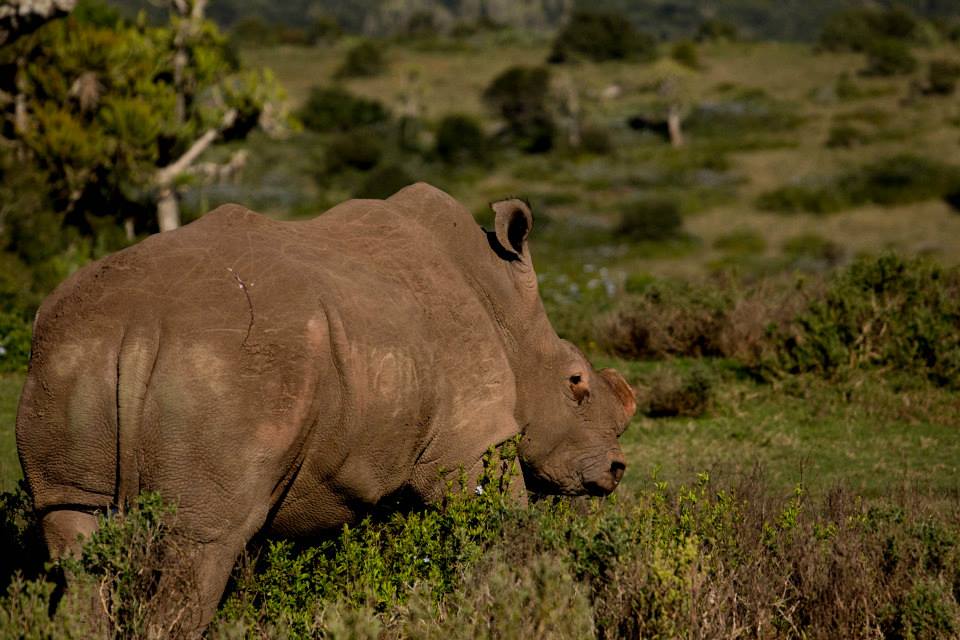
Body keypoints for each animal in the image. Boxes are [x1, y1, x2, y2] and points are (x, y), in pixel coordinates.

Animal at [15, 182, 632, 632]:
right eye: (575, 382)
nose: (616, 468)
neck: (506, 311)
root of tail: (141, 324)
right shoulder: (469, 440)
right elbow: (504, 531)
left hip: (69, 355)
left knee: (74, 529)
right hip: (232, 365)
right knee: (204, 542)